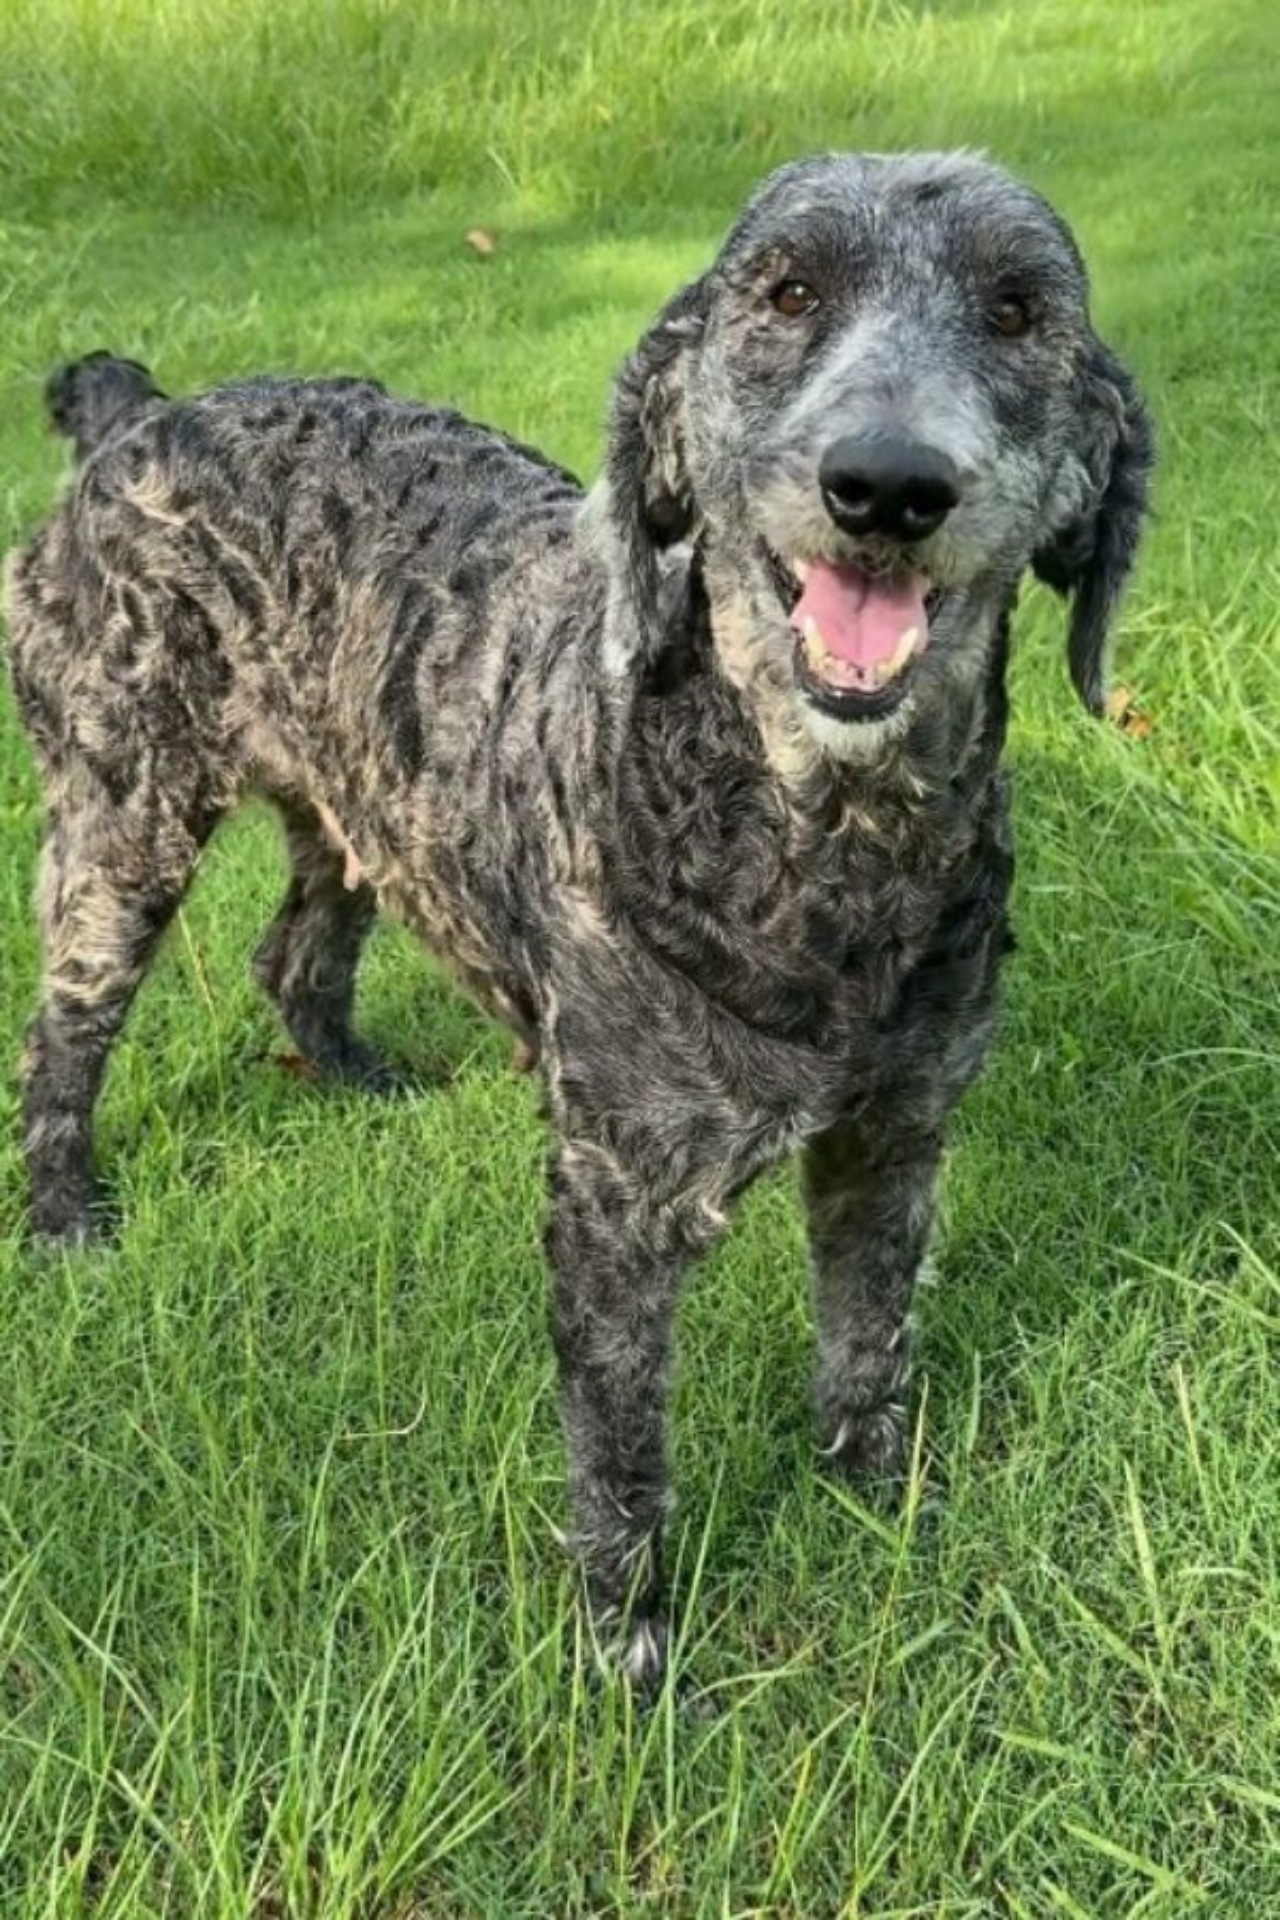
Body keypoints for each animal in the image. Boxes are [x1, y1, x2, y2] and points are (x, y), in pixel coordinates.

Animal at [7, 149, 1151, 1681]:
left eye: (1017, 311)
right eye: (786, 291)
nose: (886, 483)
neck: (819, 854)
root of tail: (138, 414)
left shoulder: (894, 1137)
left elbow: (868, 1342)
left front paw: (883, 1508)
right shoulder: (618, 1205)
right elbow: (622, 1461)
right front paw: (630, 1653)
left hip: (358, 807)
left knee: (292, 953)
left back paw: (355, 1076)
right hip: (120, 832)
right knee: (63, 1041)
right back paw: (65, 1215)